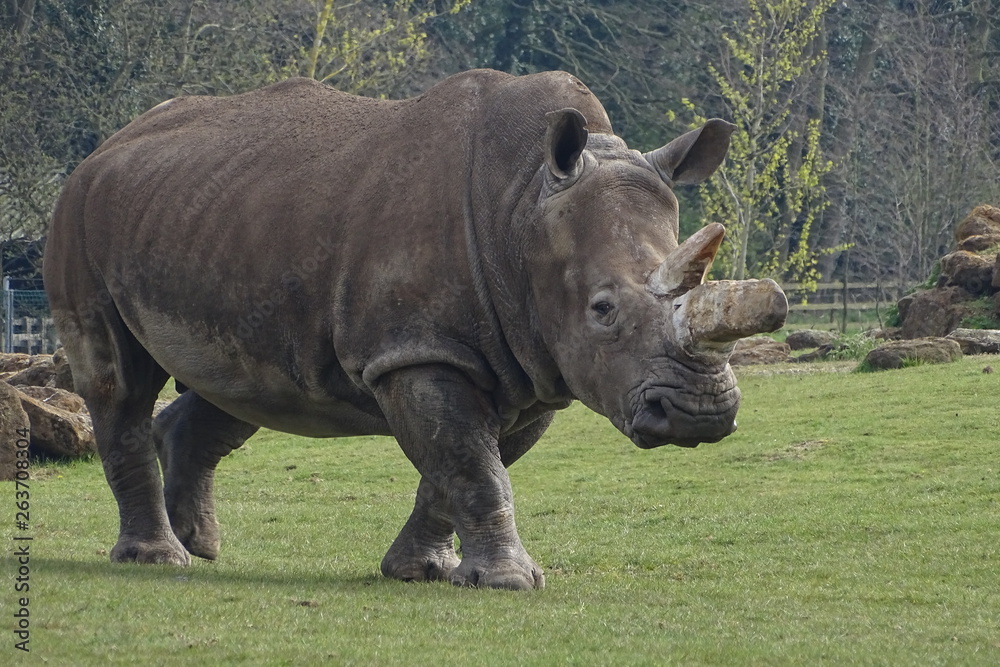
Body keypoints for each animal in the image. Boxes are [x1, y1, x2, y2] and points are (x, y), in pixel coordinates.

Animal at [44, 69, 786, 590]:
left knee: (245, 382)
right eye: (603, 309)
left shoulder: (531, 364)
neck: (523, 206)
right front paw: (510, 582)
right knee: (117, 382)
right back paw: (156, 559)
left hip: (217, 215)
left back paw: (198, 546)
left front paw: (422, 571)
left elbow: (460, 465)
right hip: (78, 212)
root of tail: (104, 148)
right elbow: (471, 461)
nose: (699, 414)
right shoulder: (421, 351)